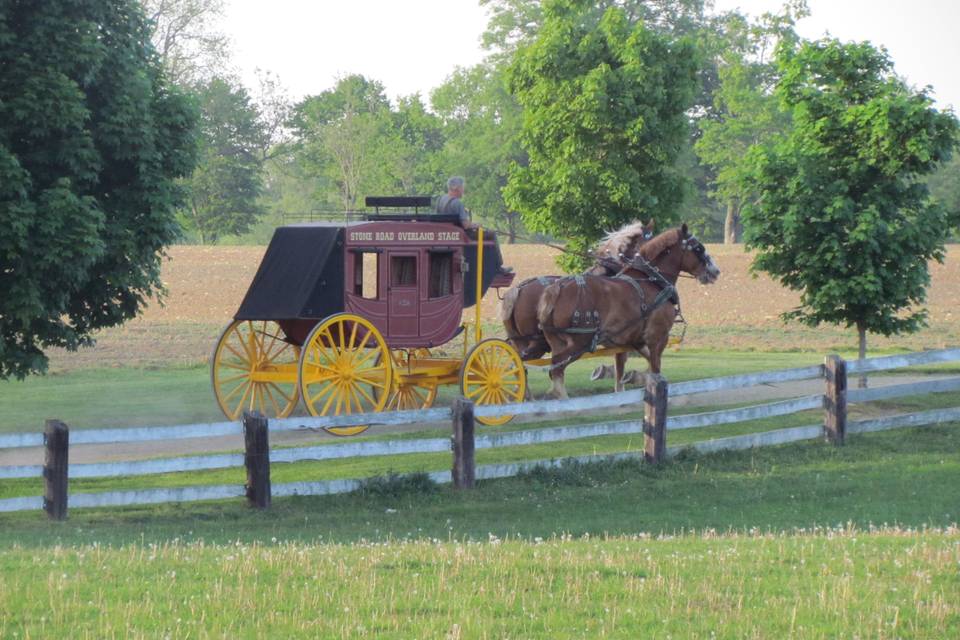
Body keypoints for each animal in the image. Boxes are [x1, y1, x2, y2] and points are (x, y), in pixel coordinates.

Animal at [536, 222, 716, 398]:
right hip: (580, 342)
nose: (715, 271)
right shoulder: (657, 336)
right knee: (556, 369)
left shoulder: (633, 340)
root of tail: (557, 289)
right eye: (698, 248)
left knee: (555, 371)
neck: (652, 280)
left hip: (557, 341)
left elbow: (634, 366)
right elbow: (655, 367)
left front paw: (633, 378)